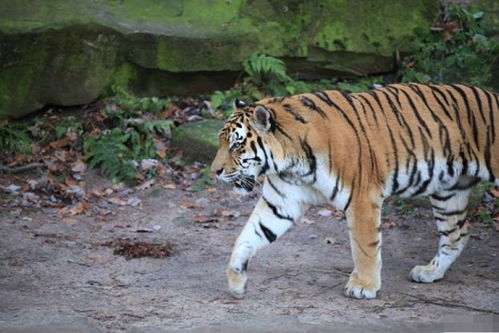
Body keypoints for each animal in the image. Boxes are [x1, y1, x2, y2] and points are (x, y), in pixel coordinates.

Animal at [212, 82, 499, 298]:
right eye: (222, 142)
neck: (291, 162)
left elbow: (364, 247)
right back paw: (430, 272)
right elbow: (248, 236)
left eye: (236, 145)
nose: (214, 171)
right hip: (448, 191)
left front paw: (364, 286)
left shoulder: (362, 197)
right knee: (457, 234)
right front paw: (236, 280)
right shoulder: (281, 202)